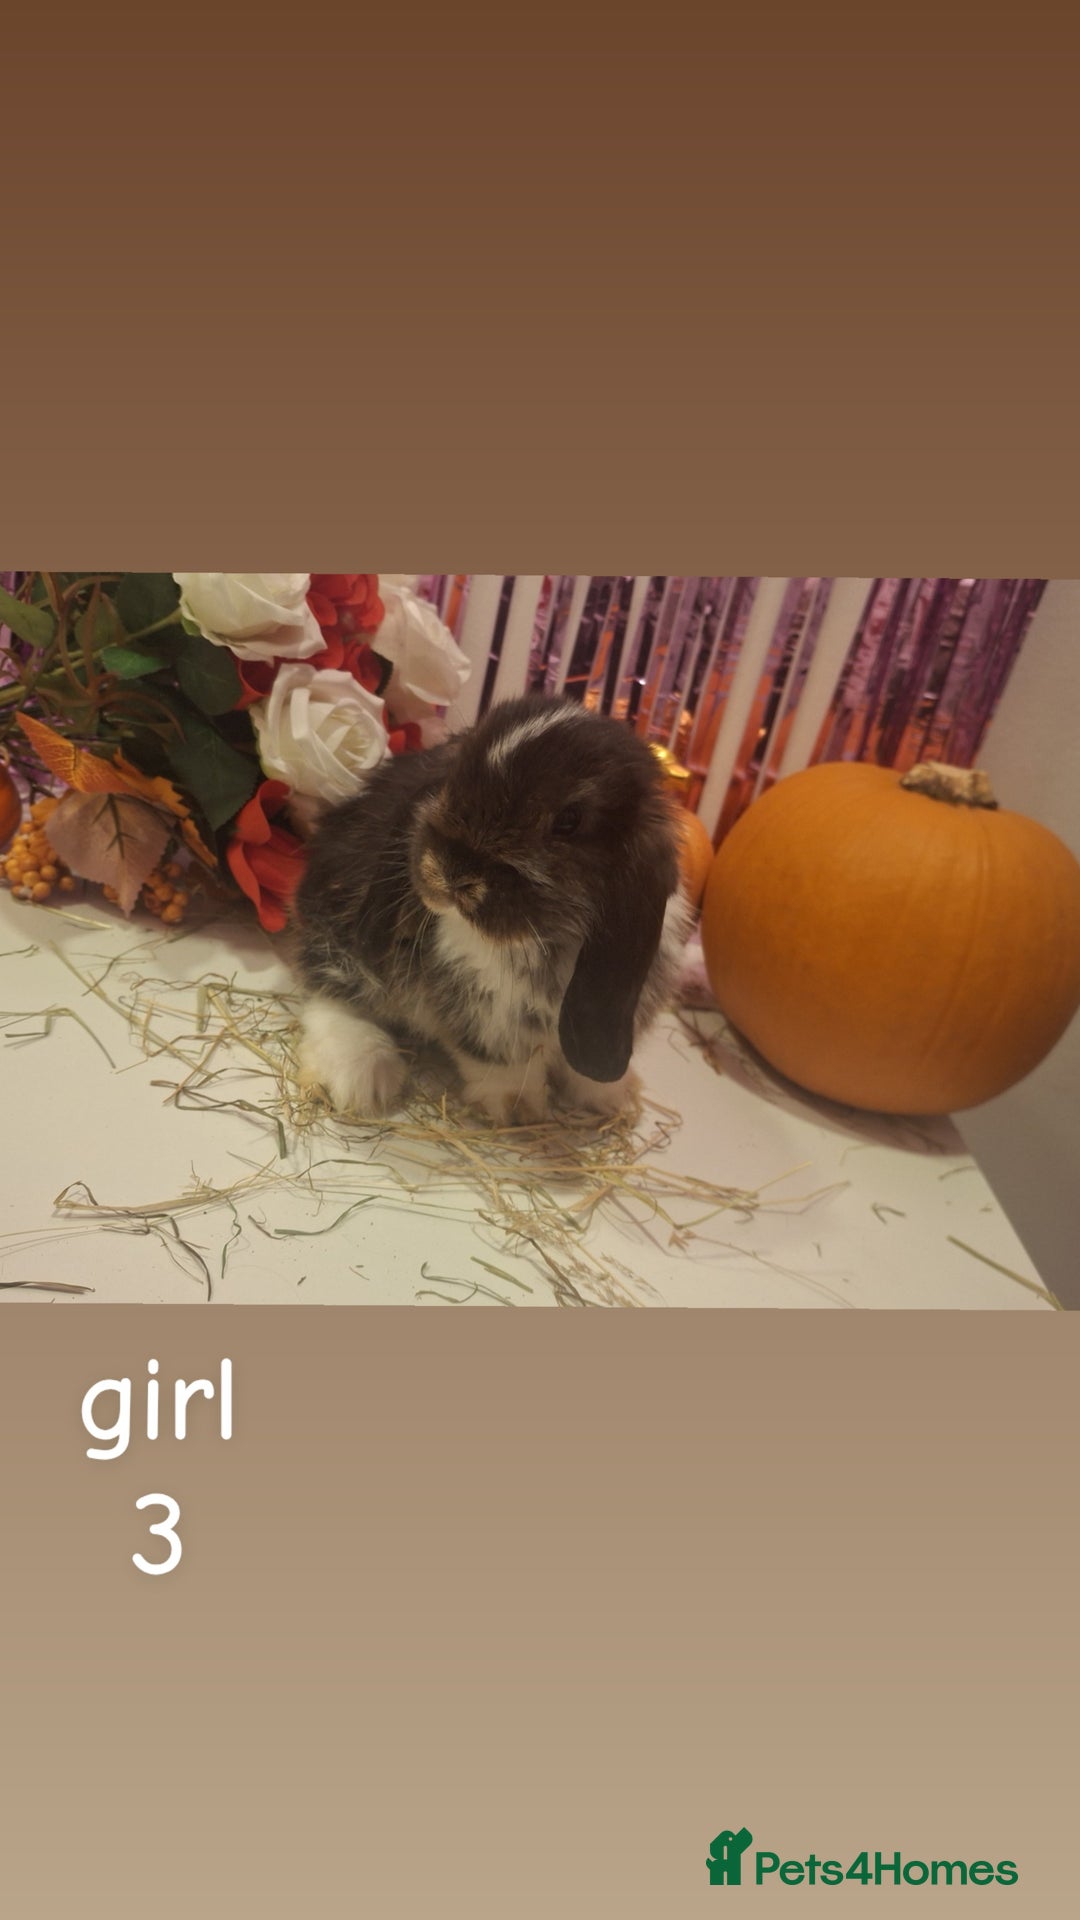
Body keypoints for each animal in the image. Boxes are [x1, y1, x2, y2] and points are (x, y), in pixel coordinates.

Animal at [289, 695, 693, 1124]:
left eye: (569, 820)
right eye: (454, 779)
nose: (450, 873)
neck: (556, 936)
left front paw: (615, 1100)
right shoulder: (485, 1011)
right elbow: (498, 1060)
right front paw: (518, 1110)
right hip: (341, 935)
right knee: (331, 989)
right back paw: (362, 1075)